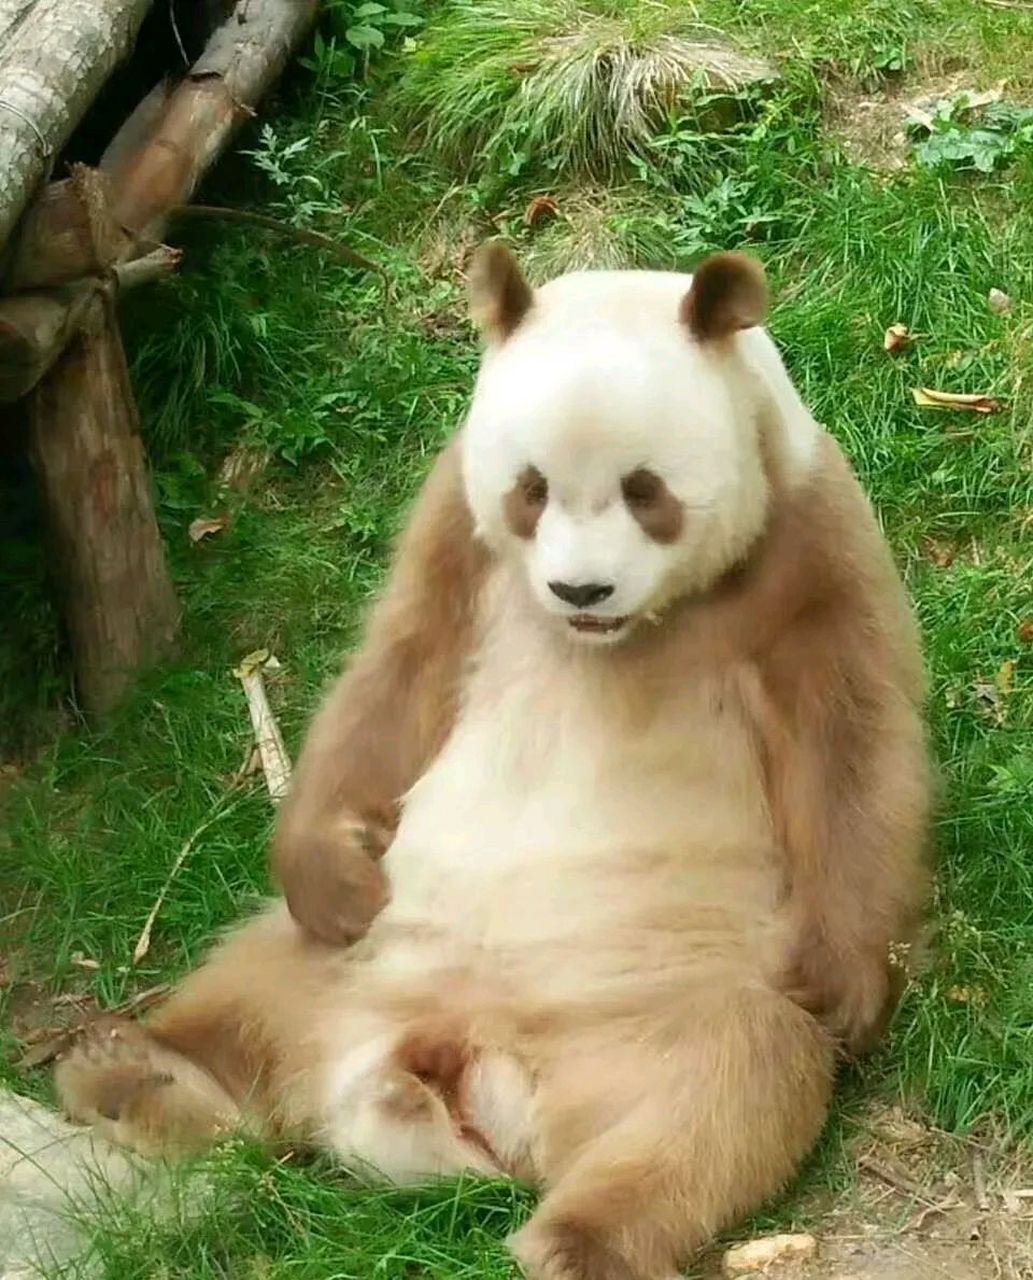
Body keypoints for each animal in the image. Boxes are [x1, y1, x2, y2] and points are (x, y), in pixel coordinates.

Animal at [56, 246, 930, 1280]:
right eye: (531, 488)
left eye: (645, 489)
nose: (579, 588)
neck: (618, 634)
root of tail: (459, 1055)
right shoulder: (456, 527)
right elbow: (399, 670)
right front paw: (331, 875)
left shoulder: (805, 537)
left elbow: (851, 740)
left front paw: (840, 984)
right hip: (364, 956)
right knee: (249, 980)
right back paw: (133, 1073)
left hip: (655, 1009)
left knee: (725, 1087)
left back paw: (578, 1242)